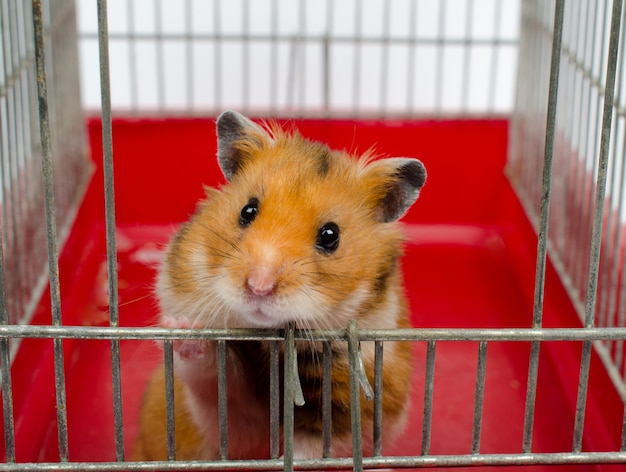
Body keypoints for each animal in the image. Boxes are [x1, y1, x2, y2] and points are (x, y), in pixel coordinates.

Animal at [132, 110, 424, 460]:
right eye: (248, 210)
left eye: (330, 235)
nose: (259, 287)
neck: (266, 340)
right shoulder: (227, 419)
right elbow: (212, 383)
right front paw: (185, 330)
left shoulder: (349, 406)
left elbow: (313, 448)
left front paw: (287, 460)